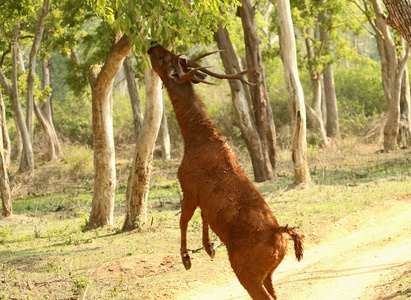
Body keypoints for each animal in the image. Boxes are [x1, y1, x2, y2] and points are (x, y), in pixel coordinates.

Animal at [147, 44, 302, 300]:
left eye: (165, 58)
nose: (151, 47)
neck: (195, 140)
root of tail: (280, 235)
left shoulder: (188, 186)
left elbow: (183, 219)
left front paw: (187, 259)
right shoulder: (201, 196)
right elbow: (203, 217)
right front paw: (209, 248)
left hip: (246, 272)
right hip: (268, 273)